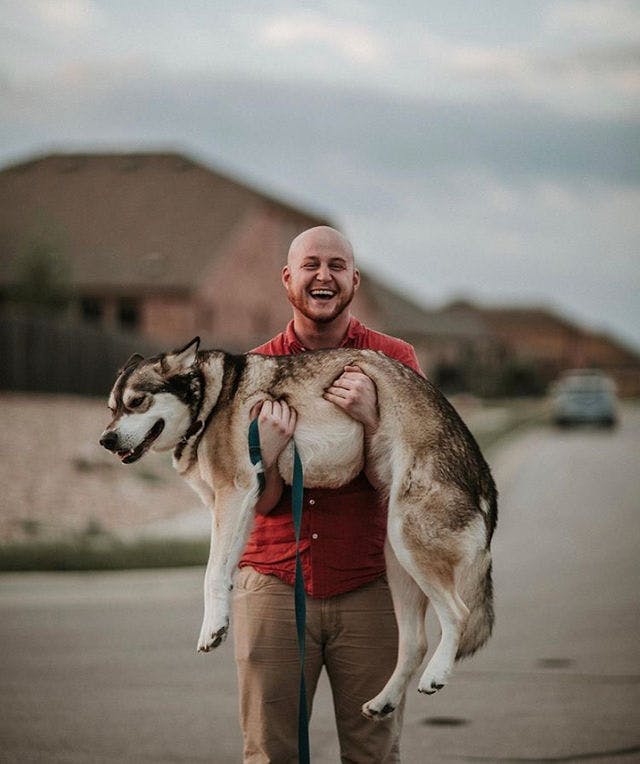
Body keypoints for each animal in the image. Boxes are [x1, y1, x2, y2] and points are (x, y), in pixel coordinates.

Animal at [102, 338, 498, 720]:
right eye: (111, 409)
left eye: (136, 402)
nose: (105, 441)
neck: (210, 401)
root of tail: (483, 478)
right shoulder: (244, 501)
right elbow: (225, 567)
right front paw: (223, 617)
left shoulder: (234, 491)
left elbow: (212, 573)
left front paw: (211, 628)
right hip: (398, 558)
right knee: (415, 643)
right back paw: (383, 701)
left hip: (408, 540)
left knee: (459, 614)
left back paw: (436, 675)